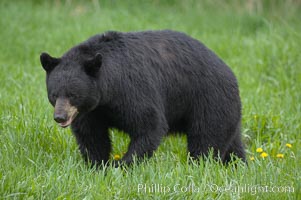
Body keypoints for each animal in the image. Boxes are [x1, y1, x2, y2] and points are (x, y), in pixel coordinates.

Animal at [39, 30, 244, 167]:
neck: (107, 92)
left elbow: (148, 124)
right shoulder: (91, 110)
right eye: (54, 95)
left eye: (73, 94)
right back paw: (237, 165)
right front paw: (97, 164)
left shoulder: (132, 89)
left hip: (209, 99)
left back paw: (199, 164)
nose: (60, 117)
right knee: (232, 143)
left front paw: (123, 163)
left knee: (207, 137)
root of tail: (230, 73)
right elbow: (91, 134)